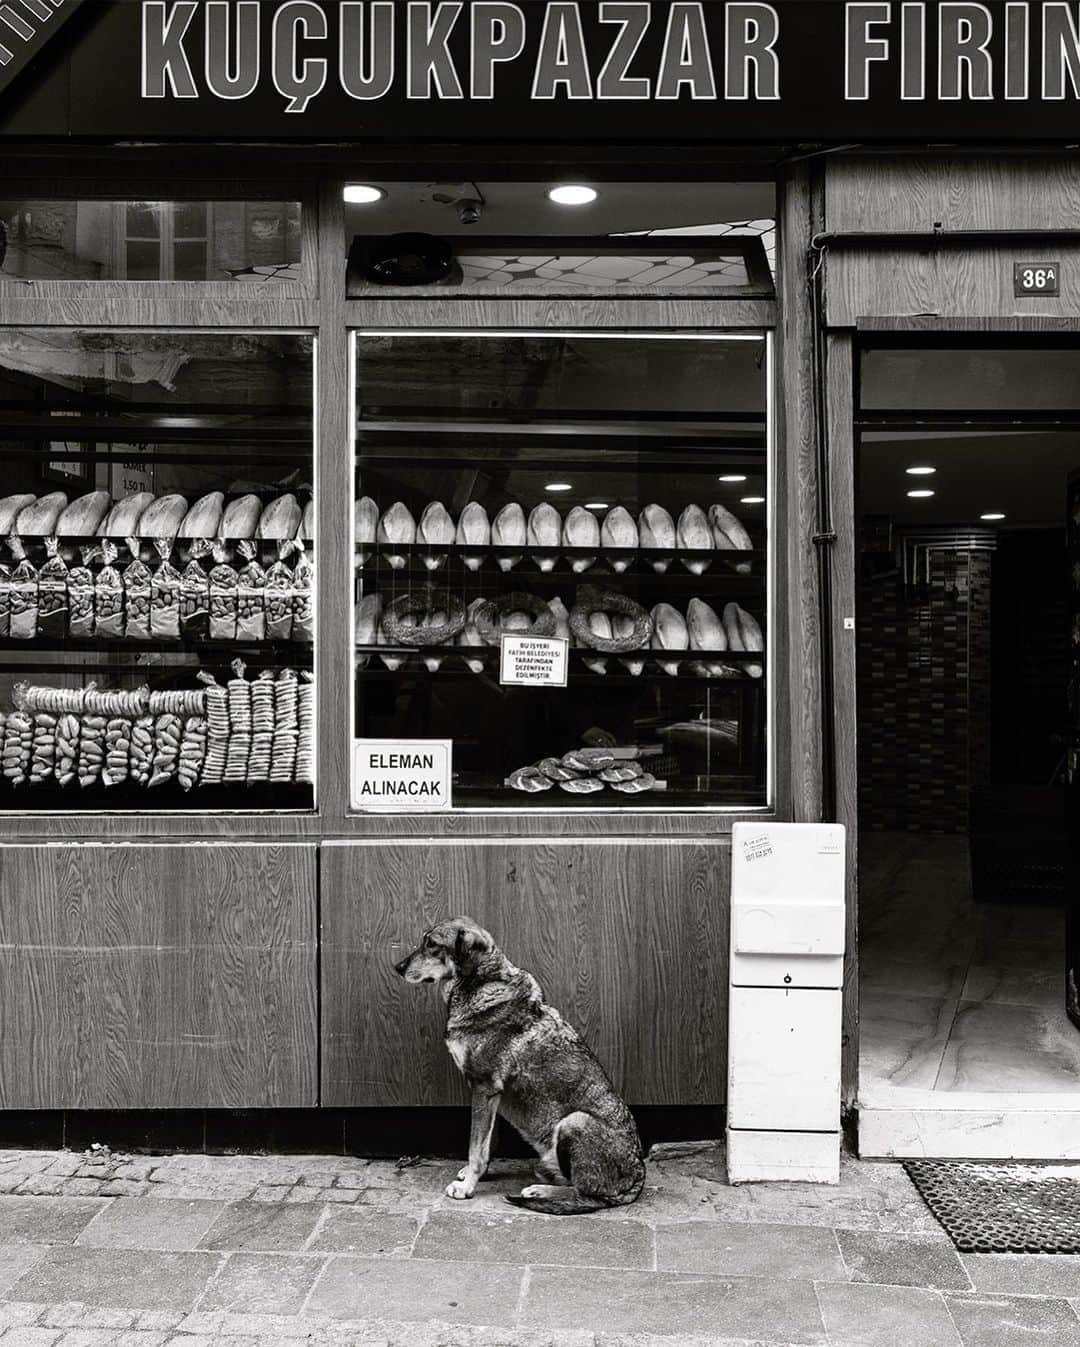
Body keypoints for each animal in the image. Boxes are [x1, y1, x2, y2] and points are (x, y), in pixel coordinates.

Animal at [395, 915, 649, 1223]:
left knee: (586, 1194)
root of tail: (638, 1177)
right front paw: (474, 1176)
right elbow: (485, 1145)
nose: (397, 968)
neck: (482, 984)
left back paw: (540, 1192)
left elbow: (476, 1149)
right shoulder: (490, 1096)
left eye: (432, 944)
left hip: (574, 1121)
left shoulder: (484, 1088)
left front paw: (467, 1187)